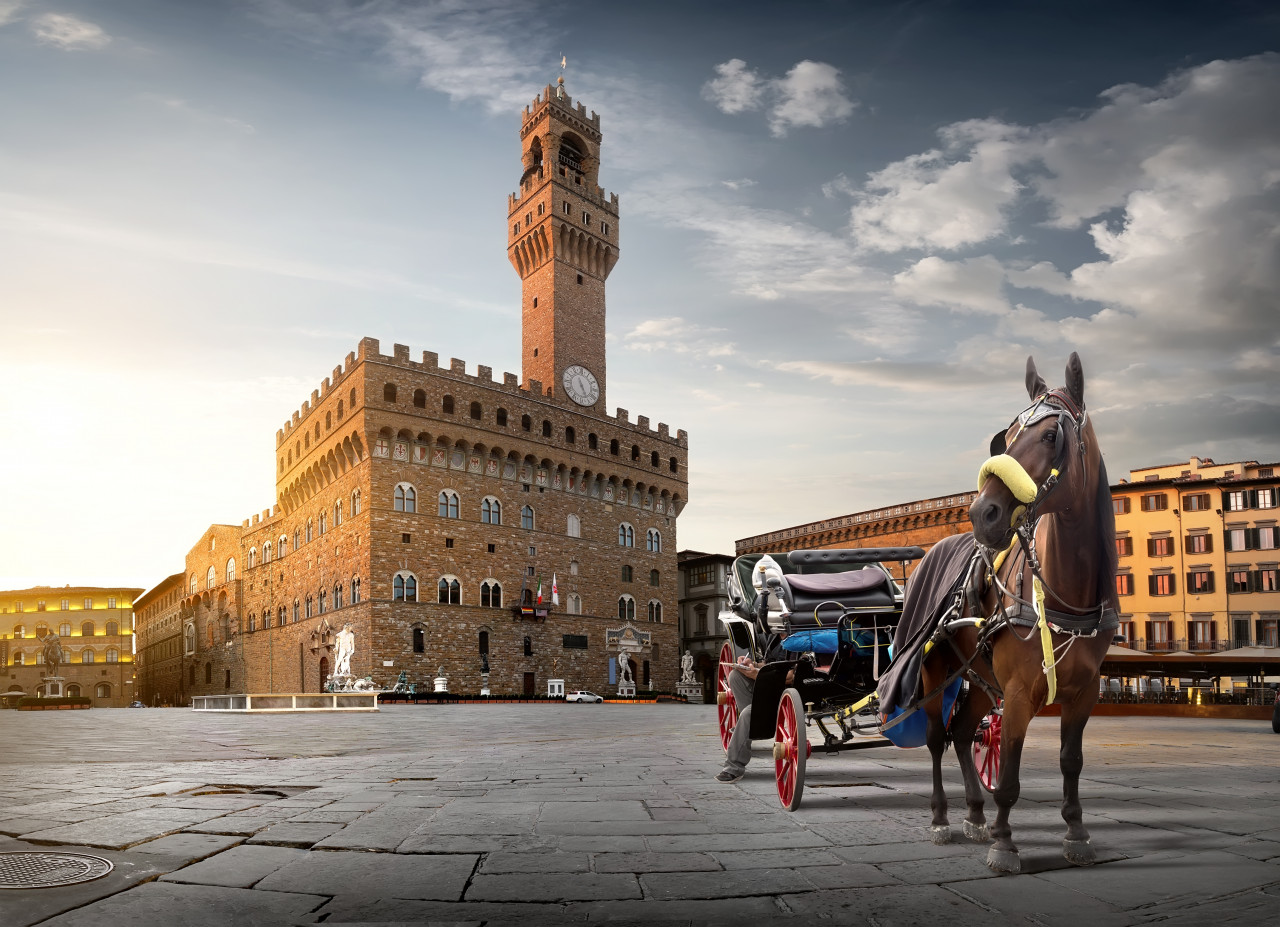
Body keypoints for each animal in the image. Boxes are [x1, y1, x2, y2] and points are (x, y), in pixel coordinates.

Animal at [921, 350, 1121, 870]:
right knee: (935, 736)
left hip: (977, 678)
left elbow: (1071, 761)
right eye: (1007, 436)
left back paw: (974, 813)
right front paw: (1005, 842)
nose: (981, 513)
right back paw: (942, 818)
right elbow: (1009, 772)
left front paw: (1075, 831)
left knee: (962, 732)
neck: (1067, 596)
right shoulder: (1016, 692)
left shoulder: (1084, 691)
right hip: (935, 671)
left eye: (1051, 436)